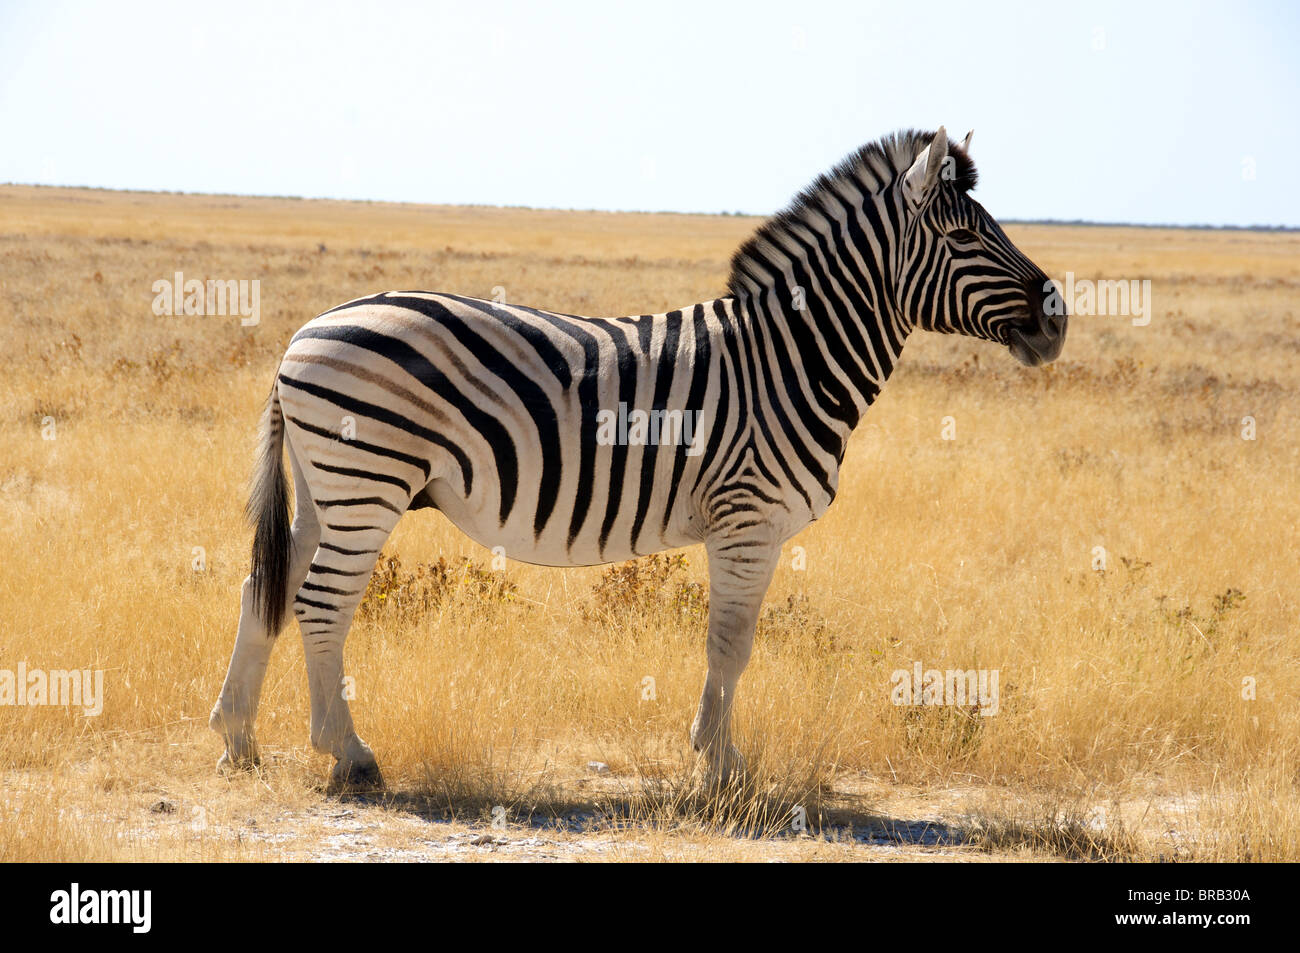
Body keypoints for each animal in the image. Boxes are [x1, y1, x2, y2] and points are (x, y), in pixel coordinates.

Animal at [210, 126, 1066, 785]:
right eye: (964, 236)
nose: (1057, 317)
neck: (789, 357)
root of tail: (303, 331)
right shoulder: (747, 518)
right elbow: (731, 642)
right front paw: (720, 767)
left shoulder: (749, 526)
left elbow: (732, 643)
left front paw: (716, 758)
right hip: (368, 481)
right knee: (322, 602)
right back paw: (348, 754)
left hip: (326, 488)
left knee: (267, 588)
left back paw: (237, 740)